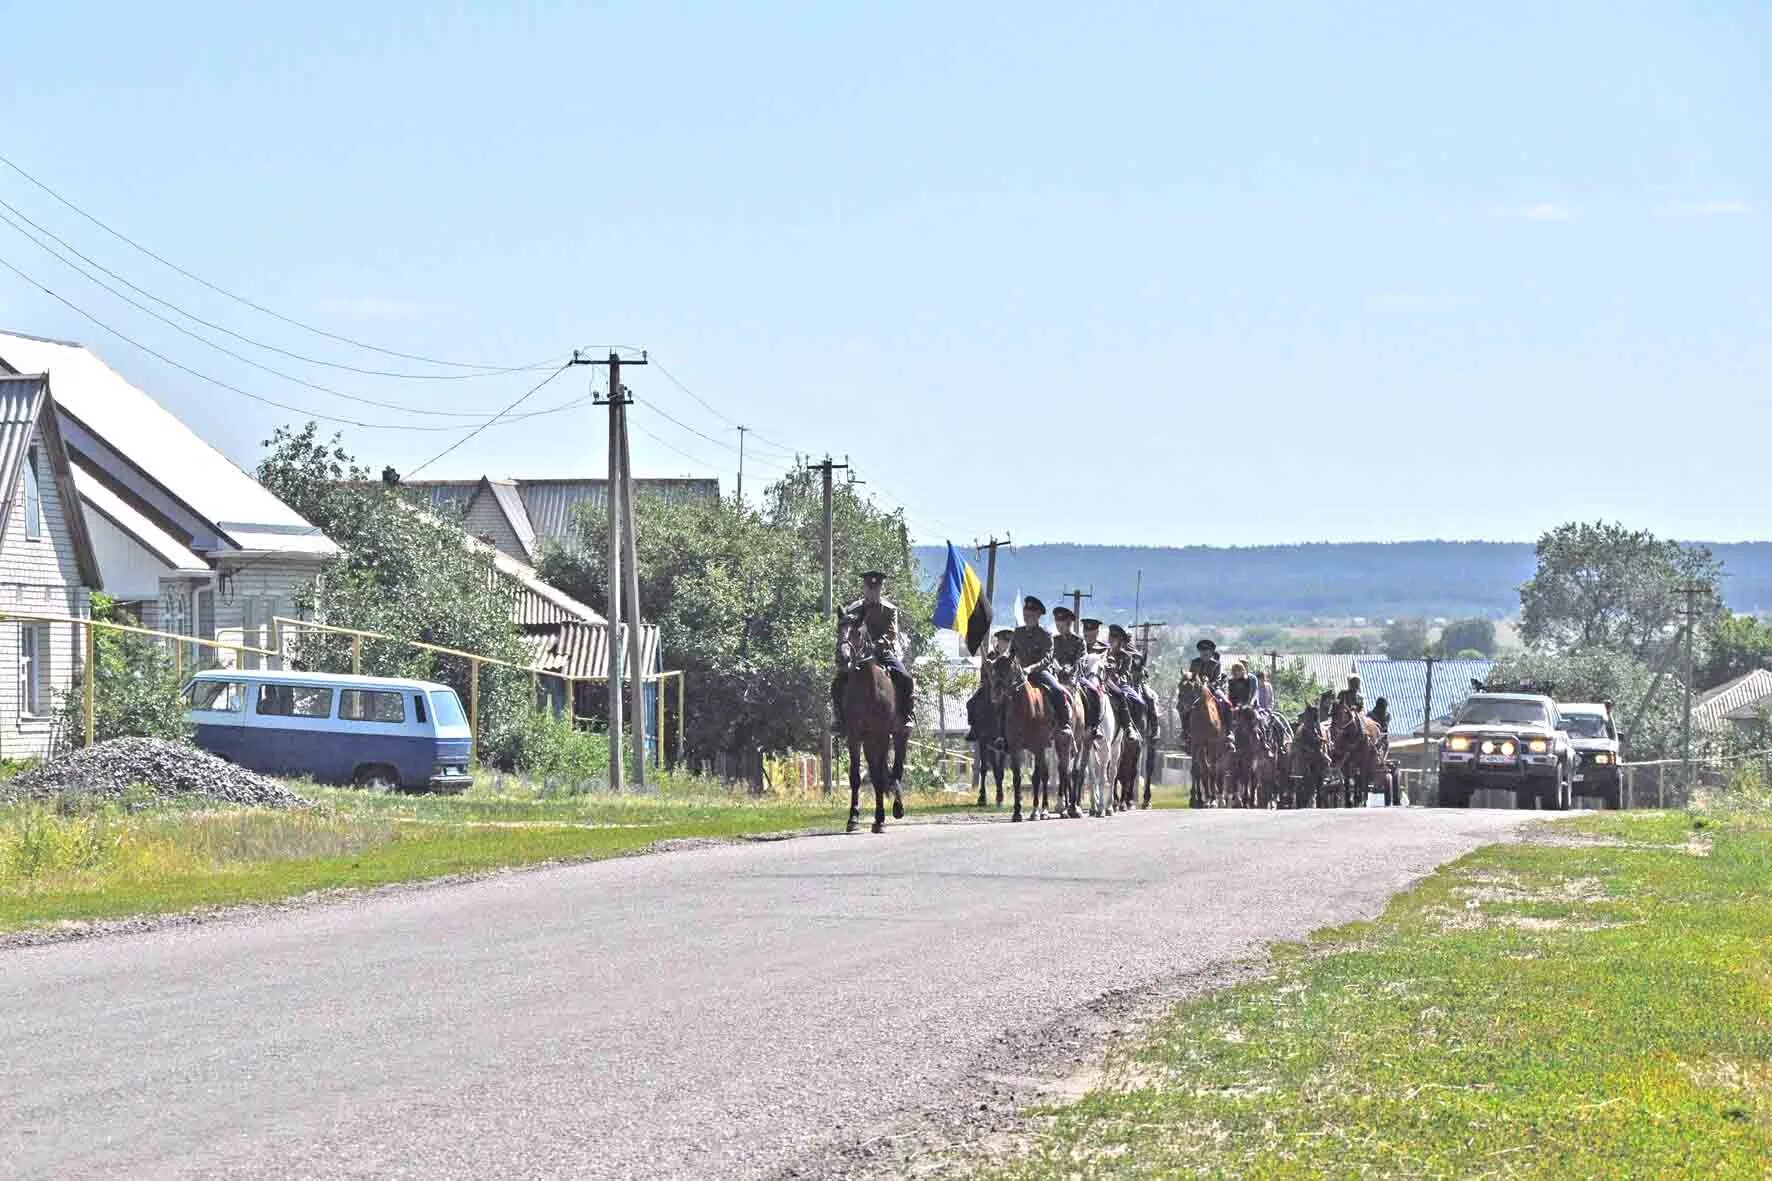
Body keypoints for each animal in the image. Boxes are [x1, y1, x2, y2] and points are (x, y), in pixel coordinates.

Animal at [836, 624, 907, 826]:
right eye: (839, 628)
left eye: (858, 632)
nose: (842, 657)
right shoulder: (854, 735)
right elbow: (855, 775)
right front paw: (853, 817)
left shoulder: (882, 734)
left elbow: (878, 776)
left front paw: (880, 819)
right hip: (868, 740)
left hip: (899, 734)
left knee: (896, 769)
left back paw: (898, 808)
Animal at [1077, 649, 1119, 815]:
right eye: (1084, 666)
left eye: (1101, 668)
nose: (1092, 686)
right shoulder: (1088, 744)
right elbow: (1093, 776)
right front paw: (1094, 806)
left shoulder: (1106, 746)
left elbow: (1103, 777)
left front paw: (1101, 808)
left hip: (1115, 746)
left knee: (1112, 773)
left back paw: (1109, 806)